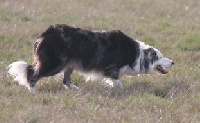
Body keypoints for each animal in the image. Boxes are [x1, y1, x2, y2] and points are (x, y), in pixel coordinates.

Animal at [7, 24, 173, 92]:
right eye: (160, 57)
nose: (172, 62)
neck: (136, 54)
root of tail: (44, 35)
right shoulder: (111, 69)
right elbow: (118, 83)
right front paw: (122, 90)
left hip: (69, 64)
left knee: (66, 80)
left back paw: (75, 89)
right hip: (55, 63)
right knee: (32, 72)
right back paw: (32, 90)